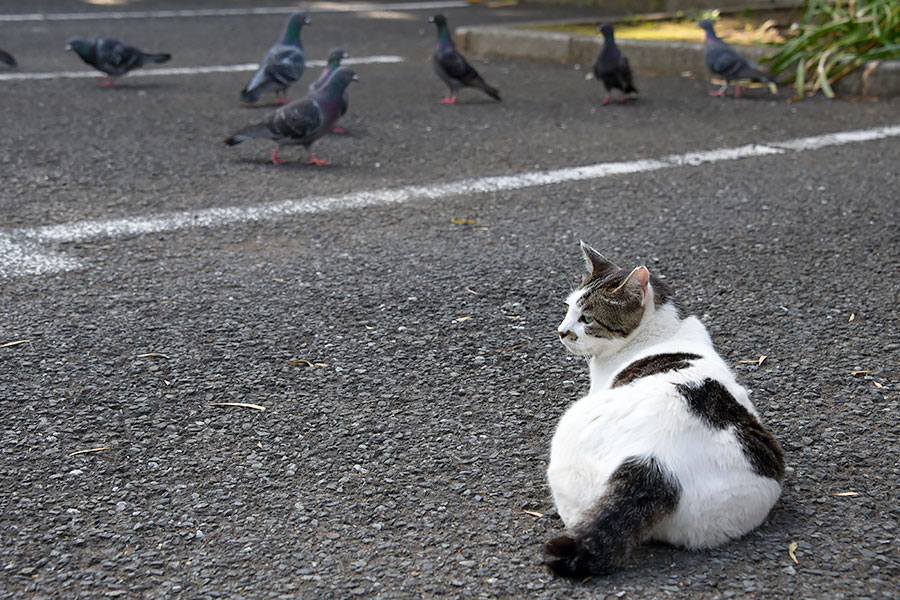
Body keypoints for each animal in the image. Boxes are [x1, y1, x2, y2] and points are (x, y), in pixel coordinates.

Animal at [544, 241, 784, 580]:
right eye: (568, 308)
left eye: (587, 318)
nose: (561, 331)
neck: (662, 329)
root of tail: (654, 463)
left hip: (571, 428)